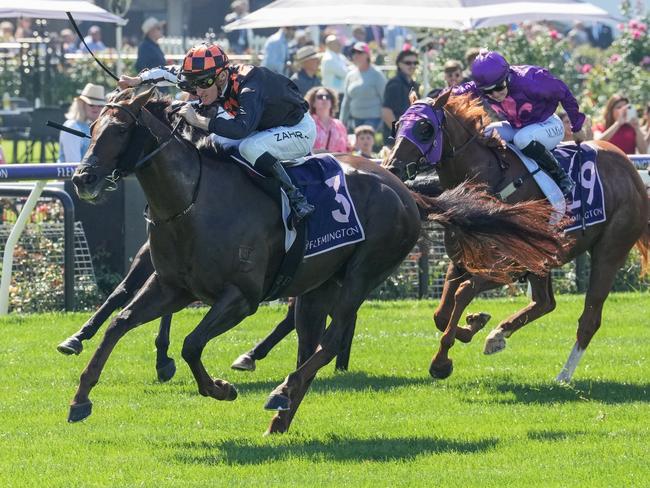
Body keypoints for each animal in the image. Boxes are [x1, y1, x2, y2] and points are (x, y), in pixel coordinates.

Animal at [66, 88, 560, 434]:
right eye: (91, 129)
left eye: (119, 130)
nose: (82, 178)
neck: (192, 201)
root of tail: (404, 189)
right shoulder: (172, 286)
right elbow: (119, 323)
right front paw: (81, 397)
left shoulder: (239, 298)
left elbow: (191, 344)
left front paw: (219, 389)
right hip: (317, 286)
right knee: (310, 342)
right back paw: (283, 409)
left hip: (361, 274)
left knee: (331, 338)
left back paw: (281, 394)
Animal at [382, 90, 644, 382]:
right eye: (398, 125)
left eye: (424, 128)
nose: (392, 168)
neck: (488, 180)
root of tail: (630, 169)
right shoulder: (462, 259)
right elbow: (440, 314)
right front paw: (475, 324)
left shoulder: (508, 263)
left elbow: (463, 293)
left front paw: (441, 361)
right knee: (544, 302)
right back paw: (498, 336)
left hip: (609, 252)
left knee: (589, 318)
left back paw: (563, 375)